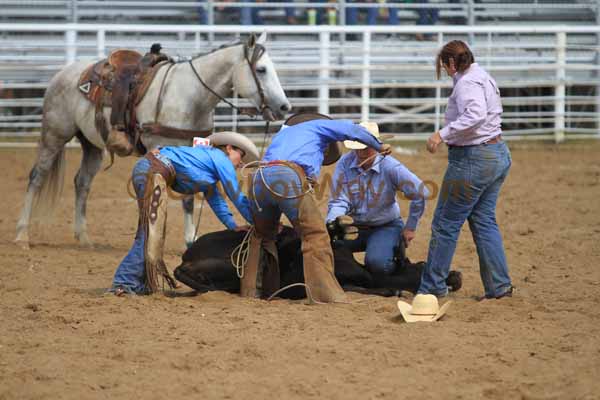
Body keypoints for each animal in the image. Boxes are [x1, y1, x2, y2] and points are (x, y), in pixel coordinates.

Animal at [14, 32, 290, 248]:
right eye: (261, 70)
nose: (285, 107)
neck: (189, 95)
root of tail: (63, 72)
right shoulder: (158, 149)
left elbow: (189, 200)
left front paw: (190, 240)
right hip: (54, 134)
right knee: (36, 177)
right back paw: (22, 234)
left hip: (92, 145)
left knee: (82, 183)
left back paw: (84, 238)